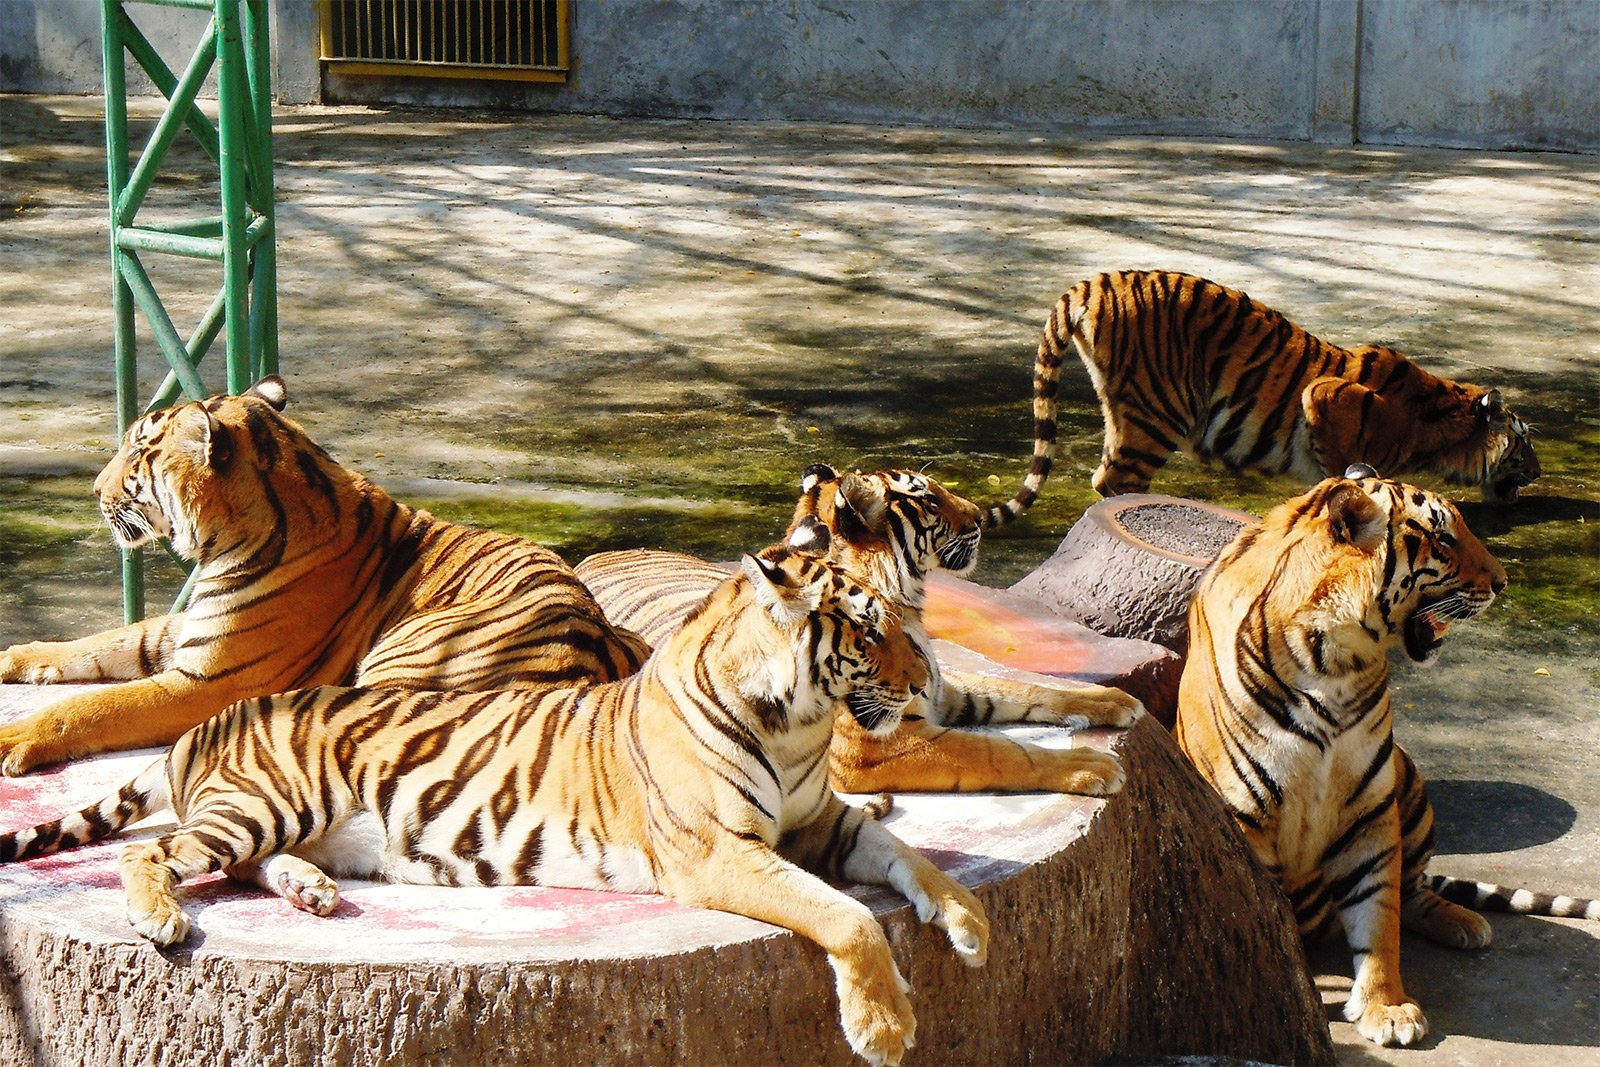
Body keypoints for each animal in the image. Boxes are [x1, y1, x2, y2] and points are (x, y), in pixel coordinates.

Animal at [0, 376, 649, 776]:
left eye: (137, 454)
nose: (93, 489)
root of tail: (598, 657)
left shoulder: (210, 681)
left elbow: (93, 706)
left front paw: (15, 739)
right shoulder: (184, 630)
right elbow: (99, 641)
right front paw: (13, 656)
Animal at [0, 539, 987, 1067]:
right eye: (869, 628)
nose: (923, 684)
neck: (799, 726)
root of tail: (211, 720)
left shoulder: (824, 818)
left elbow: (910, 856)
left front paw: (968, 921)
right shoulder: (721, 851)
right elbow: (844, 916)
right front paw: (884, 1026)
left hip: (282, 819)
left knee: (240, 864)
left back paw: (312, 893)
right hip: (267, 799)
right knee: (152, 852)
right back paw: (160, 916)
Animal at [578, 463, 1141, 796]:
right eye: (928, 499)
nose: (981, 515)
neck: (907, 602)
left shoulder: (939, 689)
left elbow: (1024, 688)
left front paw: (1116, 701)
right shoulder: (877, 743)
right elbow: (998, 751)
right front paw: (1094, 767)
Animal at [1037, 269, 1540, 503]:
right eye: (1523, 440)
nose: (1537, 473)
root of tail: (1094, 284)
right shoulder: (1325, 396)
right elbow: (1342, 471)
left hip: (1125, 411)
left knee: (1104, 474)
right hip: (1157, 412)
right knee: (1117, 481)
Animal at [1176, 465, 1595, 1048]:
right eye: (1444, 538)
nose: (1503, 581)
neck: (1333, 661)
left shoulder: (1370, 806)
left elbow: (1380, 912)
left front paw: (1387, 1008)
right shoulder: (1244, 816)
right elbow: (1267, 912)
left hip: (1408, 776)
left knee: (1413, 888)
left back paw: (1465, 923)